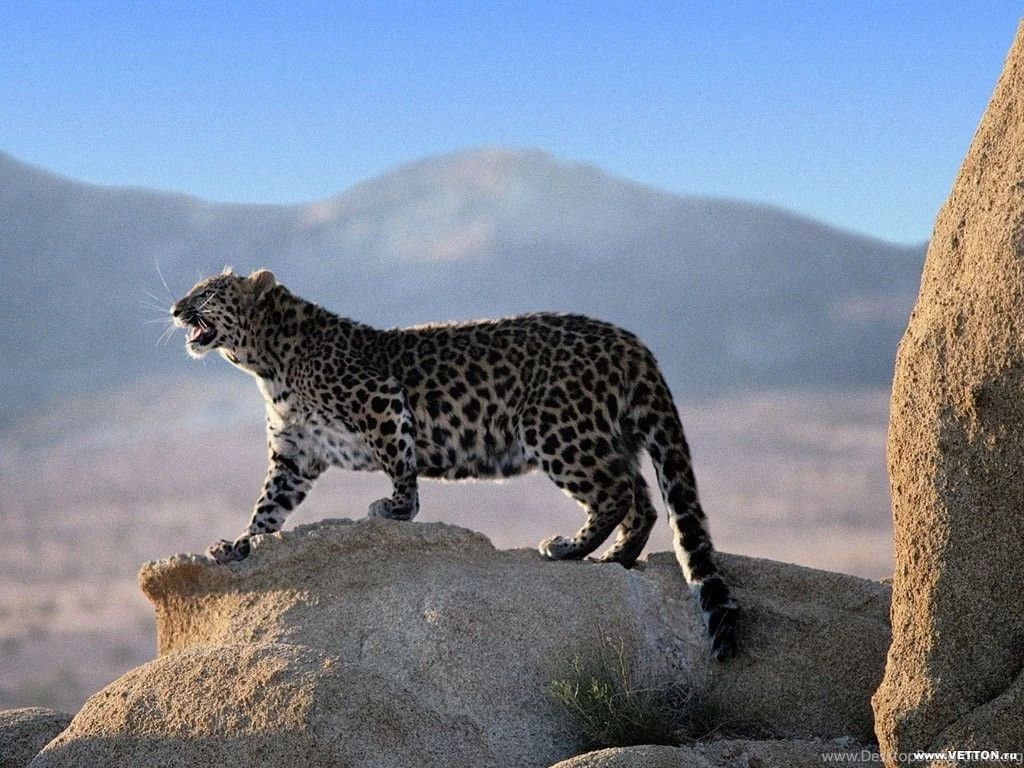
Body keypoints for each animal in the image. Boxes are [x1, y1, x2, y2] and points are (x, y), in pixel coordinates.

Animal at [170, 268, 738, 659]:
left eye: (206, 293)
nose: (176, 308)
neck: (266, 363)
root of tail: (631, 341)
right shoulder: (295, 454)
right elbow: (267, 509)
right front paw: (236, 546)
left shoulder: (382, 402)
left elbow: (400, 464)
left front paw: (396, 510)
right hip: (607, 435)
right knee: (642, 499)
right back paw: (614, 558)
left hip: (557, 429)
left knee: (618, 492)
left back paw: (568, 549)